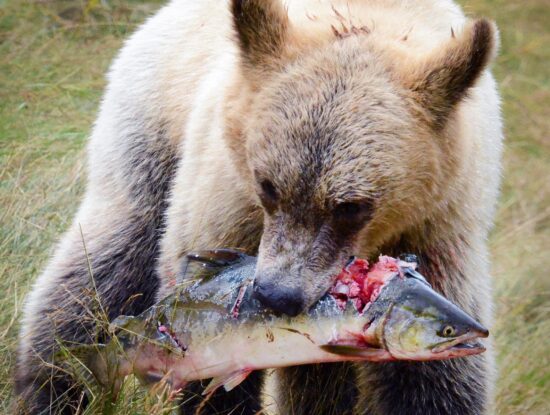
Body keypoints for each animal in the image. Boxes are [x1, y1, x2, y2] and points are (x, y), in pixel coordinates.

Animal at [15, 0, 504, 414]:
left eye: (352, 206)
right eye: (268, 185)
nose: (277, 295)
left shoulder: (439, 226)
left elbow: (434, 382)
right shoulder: (227, 201)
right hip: (149, 131)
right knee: (103, 263)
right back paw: (51, 381)